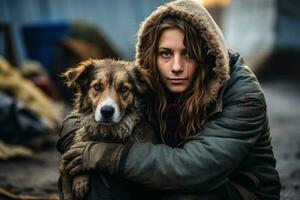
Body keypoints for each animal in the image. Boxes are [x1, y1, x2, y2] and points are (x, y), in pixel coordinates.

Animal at [58, 58, 157, 199]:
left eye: (123, 89)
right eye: (97, 87)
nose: (106, 111)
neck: (108, 133)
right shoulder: (64, 167)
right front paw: (80, 178)